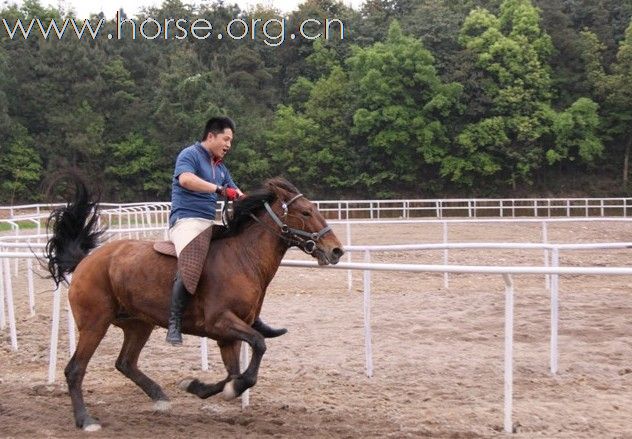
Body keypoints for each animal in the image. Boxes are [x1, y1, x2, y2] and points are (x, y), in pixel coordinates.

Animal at [43, 177, 346, 432]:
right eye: (305, 212)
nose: (336, 250)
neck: (243, 258)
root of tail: (86, 261)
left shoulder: (228, 336)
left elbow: (234, 374)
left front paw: (197, 386)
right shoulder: (221, 322)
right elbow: (258, 346)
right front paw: (223, 388)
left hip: (139, 325)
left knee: (125, 363)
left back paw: (159, 397)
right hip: (95, 324)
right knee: (75, 369)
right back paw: (85, 420)